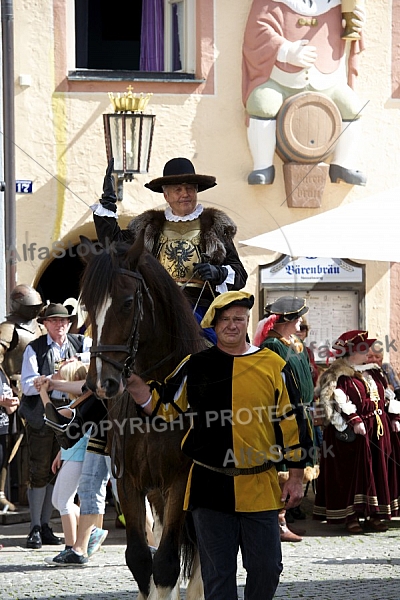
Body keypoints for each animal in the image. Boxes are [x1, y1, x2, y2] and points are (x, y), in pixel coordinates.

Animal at [80, 237, 206, 596]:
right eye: (88, 306)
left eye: (126, 303)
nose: (101, 382)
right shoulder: (129, 483)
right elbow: (140, 560)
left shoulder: (180, 482)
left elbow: (165, 565)